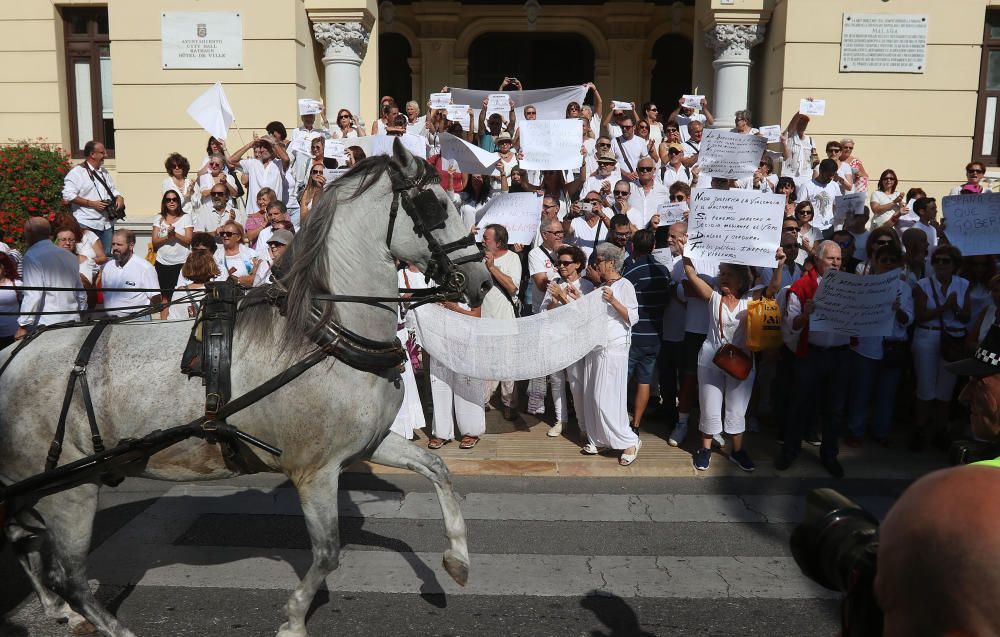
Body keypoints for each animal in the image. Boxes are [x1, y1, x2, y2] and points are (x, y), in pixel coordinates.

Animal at [0, 142, 492, 636]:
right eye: (435, 205)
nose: (482, 281)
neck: (324, 334)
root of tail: (12, 357)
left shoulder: (367, 444)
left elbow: (437, 469)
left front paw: (457, 560)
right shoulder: (315, 470)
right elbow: (327, 553)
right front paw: (293, 619)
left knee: (23, 540)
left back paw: (57, 608)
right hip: (70, 491)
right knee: (69, 575)